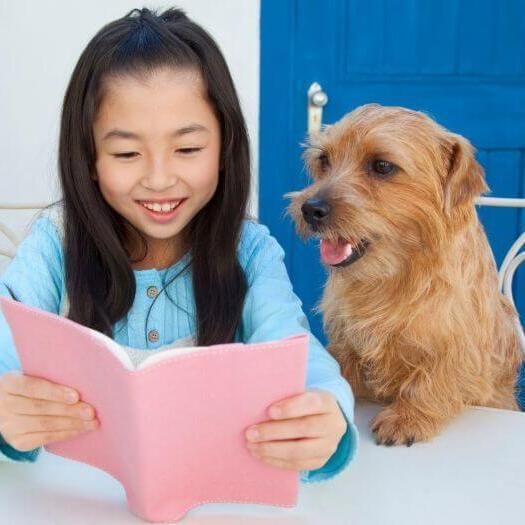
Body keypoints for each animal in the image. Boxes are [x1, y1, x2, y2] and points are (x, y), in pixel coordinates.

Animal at [286, 103, 524, 446]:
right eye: (324, 160)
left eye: (382, 166)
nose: (310, 209)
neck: (392, 277)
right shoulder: (345, 337)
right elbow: (341, 363)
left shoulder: (460, 346)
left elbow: (435, 375)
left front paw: (407, 416)